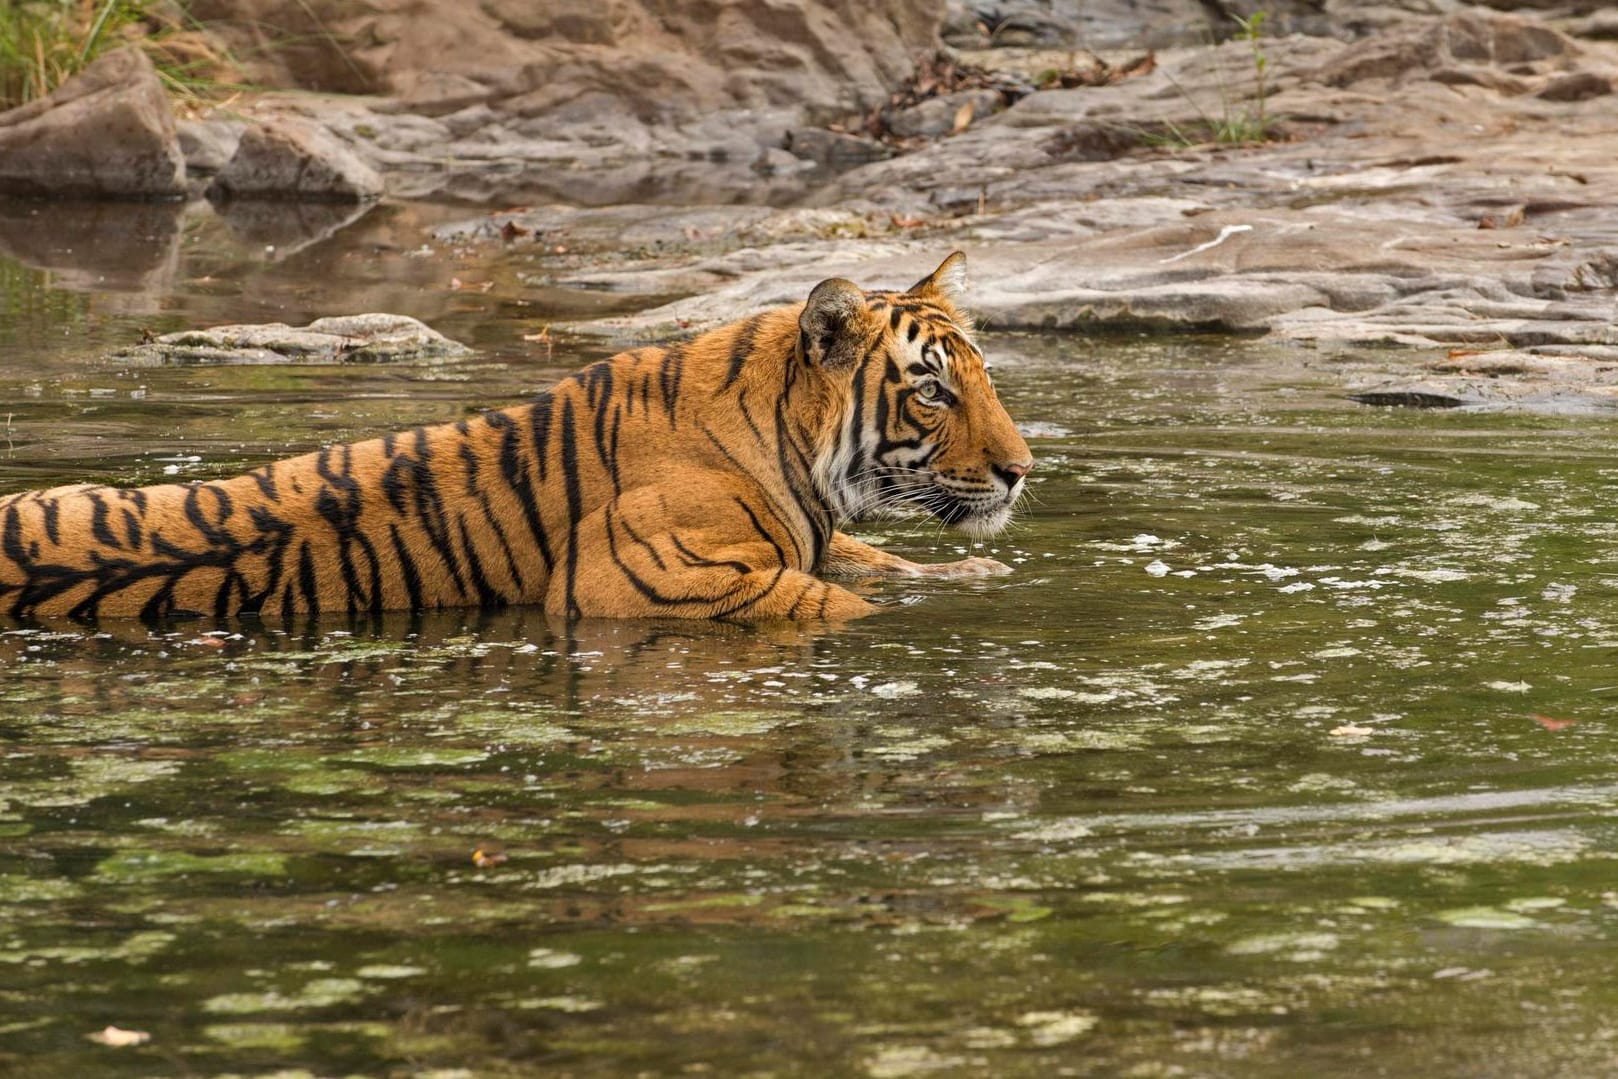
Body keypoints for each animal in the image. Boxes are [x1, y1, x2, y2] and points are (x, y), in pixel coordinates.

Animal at [0, 250, 1035, 624]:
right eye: (932, 391)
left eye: (980, 373)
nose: (1022, 471)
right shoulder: (632, 580)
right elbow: (836, 605)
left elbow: (865, 562)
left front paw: (975, 574)